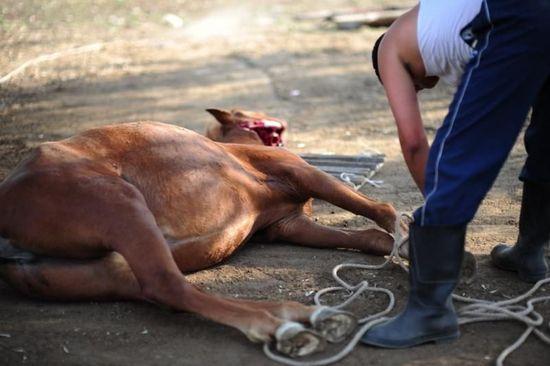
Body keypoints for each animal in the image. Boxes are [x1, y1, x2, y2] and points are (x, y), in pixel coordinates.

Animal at [0, 108, 402, 358]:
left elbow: (370, 237)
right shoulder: (301, 173)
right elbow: (382, 211)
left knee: (164, 290)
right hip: (121, 204)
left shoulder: (288, 226)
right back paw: (284, 326)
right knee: (167, 285)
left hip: (101, 271)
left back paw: (298, 318)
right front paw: (405, 241)